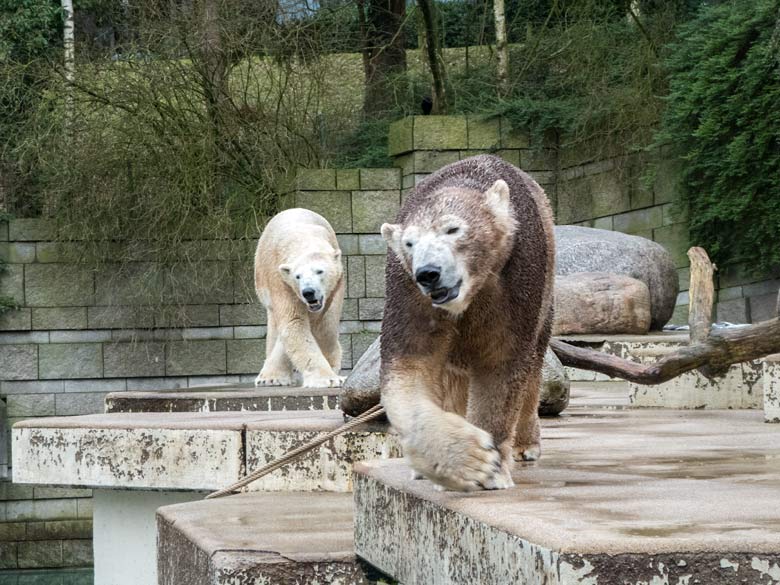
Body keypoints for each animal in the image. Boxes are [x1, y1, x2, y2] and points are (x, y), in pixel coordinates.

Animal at [253, 208, 344, 386]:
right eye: (298, 276)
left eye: (319, 271)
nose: (308, 292)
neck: (303, 239)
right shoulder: (281, 280)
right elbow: (294, 321)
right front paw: (326, 379)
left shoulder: (334, 283)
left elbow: (313, 322)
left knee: (328, 326)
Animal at [380, 154, 556, 488]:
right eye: (410, 243)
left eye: (453, 229)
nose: (428, 273)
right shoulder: (409, 294)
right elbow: (408, 368)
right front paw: (470, 460)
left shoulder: (515, 277)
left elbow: (501, 364)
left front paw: (493, 468)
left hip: (548, 285)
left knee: (535, 364)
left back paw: (526, 445)